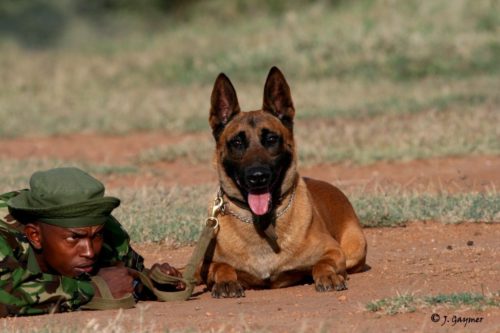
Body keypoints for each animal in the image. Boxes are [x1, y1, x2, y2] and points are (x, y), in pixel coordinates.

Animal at [200, 66, 368, 296]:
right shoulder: (204, 266)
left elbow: (322, 263)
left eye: (271, 139)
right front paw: (226, 281)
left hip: (355, 248)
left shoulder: (333, 250)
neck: (261, 222)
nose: (257, 177)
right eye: (237, 142)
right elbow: (221, 266)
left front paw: (328, 275)